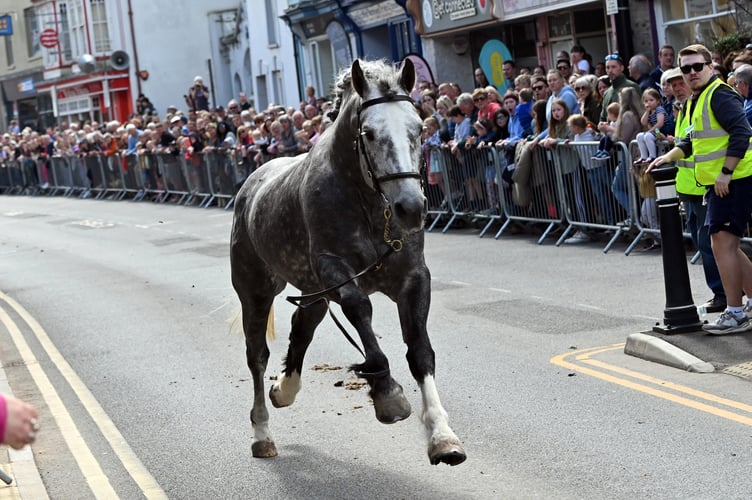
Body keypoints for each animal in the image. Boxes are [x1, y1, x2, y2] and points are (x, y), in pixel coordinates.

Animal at [231, 58, 464, 464]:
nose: (411, 207)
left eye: (419, 128)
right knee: (257, 355)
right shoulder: (334, 269)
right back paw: (262, 433)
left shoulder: (413, 277)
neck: (369, 205)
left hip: (312, 290)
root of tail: (252, 183)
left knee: (302, 326)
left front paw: (442, 436)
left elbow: (420, 351)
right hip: (255, 291)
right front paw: (387, 394)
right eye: (368, 133)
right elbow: (360, 309)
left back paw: (284, 389)